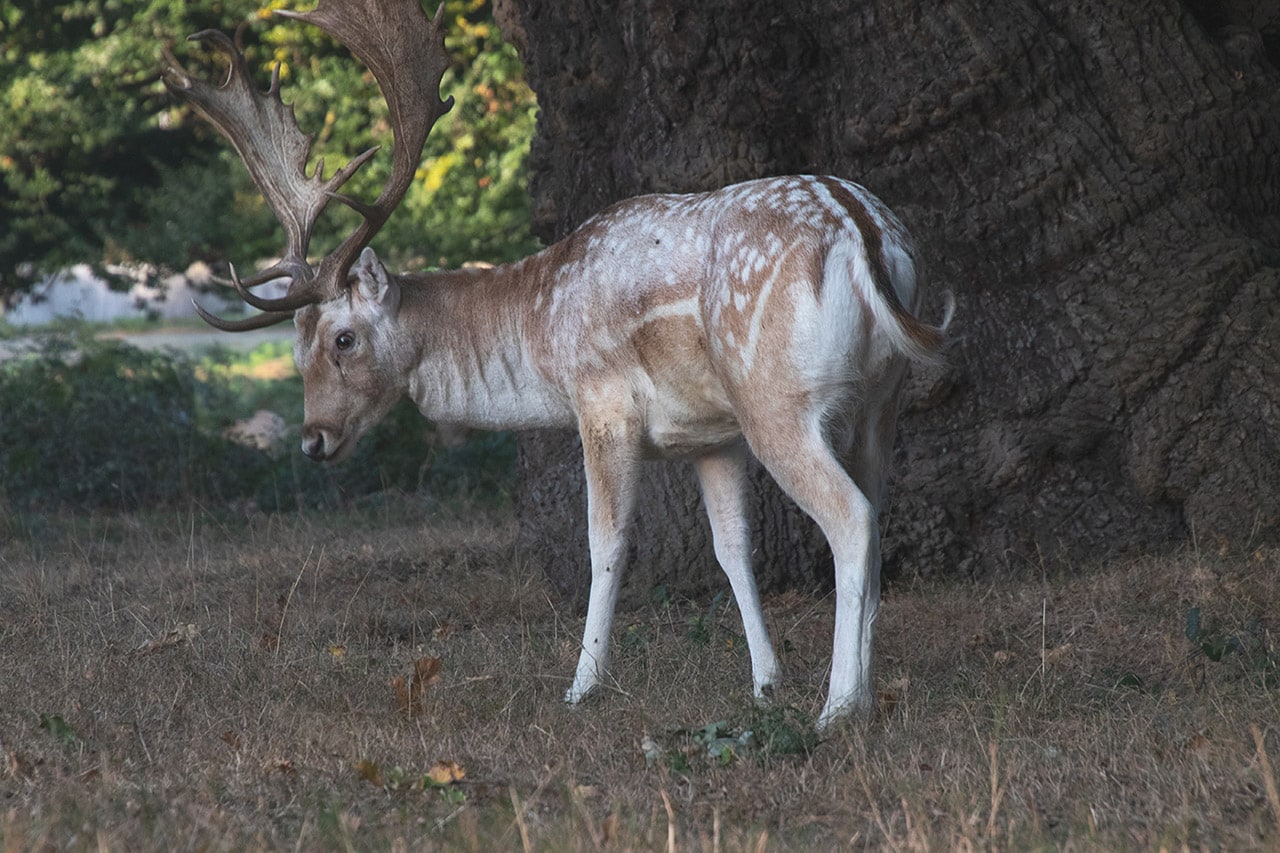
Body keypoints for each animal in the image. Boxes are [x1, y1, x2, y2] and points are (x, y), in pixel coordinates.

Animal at [160, 1, 952, 732]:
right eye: (297, 348)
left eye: (343, 340)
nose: (313, 439)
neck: (539, 333)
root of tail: (864, 230)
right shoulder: (711, 434)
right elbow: (733, 549)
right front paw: (765, 680)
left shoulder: (601, 400)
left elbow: (607, 543)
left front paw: (583, 685)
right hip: (880, 399)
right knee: (875, 507)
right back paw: (863, 689)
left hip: (777, 398)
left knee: (851, 518)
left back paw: (840, 706)